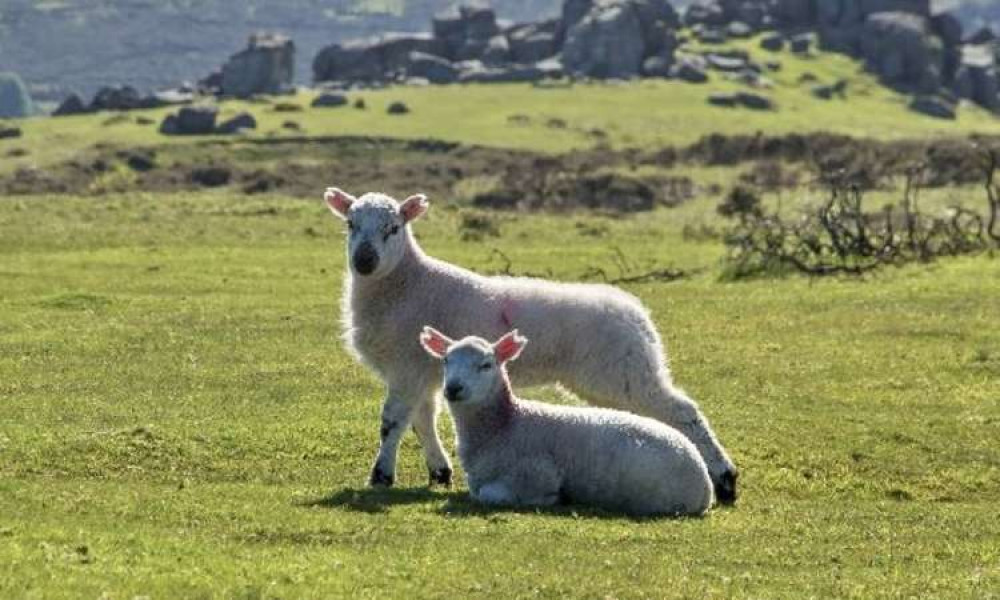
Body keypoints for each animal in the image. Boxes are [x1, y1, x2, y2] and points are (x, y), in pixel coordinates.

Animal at [418, 326, 716, 516]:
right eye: (445, 361)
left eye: (486, 365)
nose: (453, 388)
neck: (506, 424)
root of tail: (705, 485)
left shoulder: (536, 474)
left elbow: (488, 495)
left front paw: (553, 499)